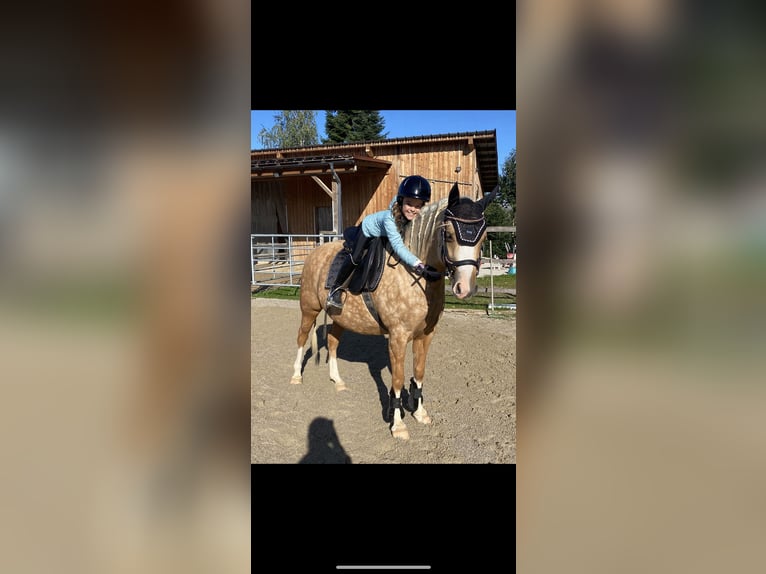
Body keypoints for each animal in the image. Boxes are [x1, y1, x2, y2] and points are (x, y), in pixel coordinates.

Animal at [289, 182, 497, 440]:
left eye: (484, 237)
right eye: (448, 234)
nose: (465, 288)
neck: (413, 276)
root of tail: (315, 253)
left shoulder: (425, 335)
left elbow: (418, 373)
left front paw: (419, 412)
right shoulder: (397, 337)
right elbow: (397, 380)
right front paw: (398, 425)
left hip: (340, 317)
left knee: (333, 342)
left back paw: (337, 381)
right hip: (309, 309)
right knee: (302, 338)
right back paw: (296, 376)